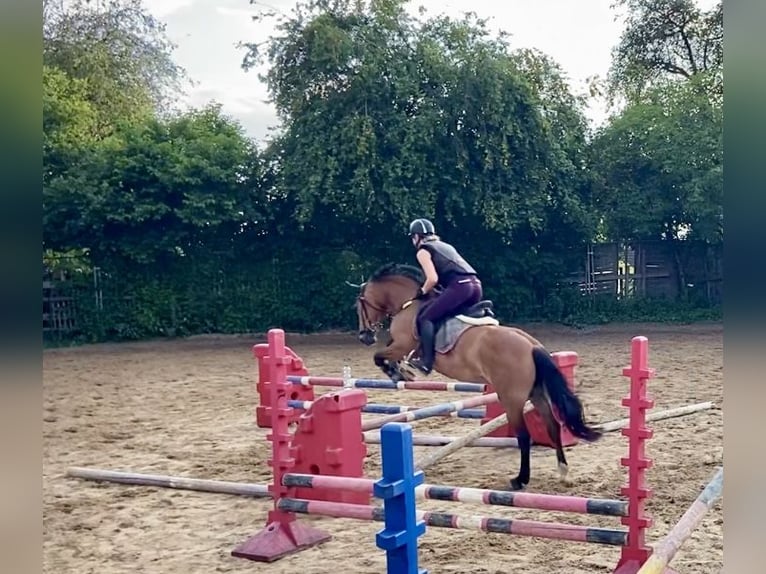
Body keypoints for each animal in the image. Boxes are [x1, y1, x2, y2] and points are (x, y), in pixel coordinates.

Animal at [351, 262, 601, 491]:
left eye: (358, 304)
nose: (364, 337)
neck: (408, 304)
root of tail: (531, 345)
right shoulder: (399, 346)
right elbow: (386, 354)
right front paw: (401, 369)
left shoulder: (403, 344)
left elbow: (379, 356)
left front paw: (400, 372)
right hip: (536, 394)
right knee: (552, 426)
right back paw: (563, 472)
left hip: (511, 398)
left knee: (523, 435)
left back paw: (520, 480)